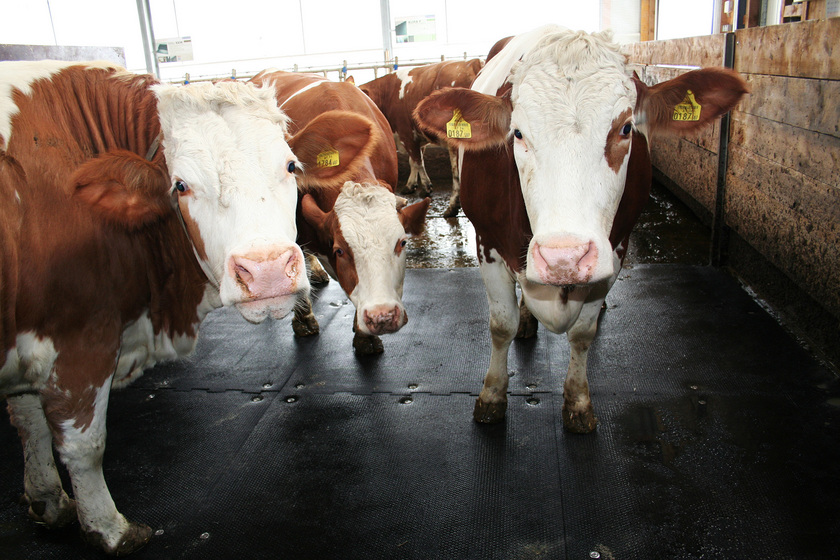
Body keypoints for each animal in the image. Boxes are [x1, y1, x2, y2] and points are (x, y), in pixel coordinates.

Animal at [0, 62, 374, 556]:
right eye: (180, 185)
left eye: (291, 165)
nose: (268, 270)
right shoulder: (81, 338)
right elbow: (84, 445)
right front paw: (110, 530)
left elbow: (28, 422)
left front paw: (48, 500)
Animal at [358, 58, 482, 217]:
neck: (388, 93)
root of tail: (474, 62)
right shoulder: (418, 138)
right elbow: (415, 161)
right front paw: (413, 185)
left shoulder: (407, 135)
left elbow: (417, 161)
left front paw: (426, 187)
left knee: (457, 175)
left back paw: (453, 206)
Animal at [414, 26, 748, 434]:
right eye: (517, 133)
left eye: (625, 128)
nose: (564, 258)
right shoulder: (487, 242)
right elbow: (502, 325)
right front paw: (491, 396)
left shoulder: (615, 251)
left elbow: (583, 334)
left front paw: (577, 401)